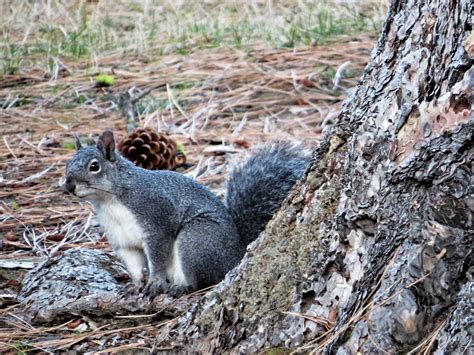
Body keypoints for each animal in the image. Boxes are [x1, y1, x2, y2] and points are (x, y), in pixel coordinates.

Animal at [63, 132, 310, 296]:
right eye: (68, 164)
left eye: (94, 166)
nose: (69, 185)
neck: (110, 201)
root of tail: (238, 254)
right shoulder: (121, 239)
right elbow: (133, 263)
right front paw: (136, 285)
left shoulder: (157, 219)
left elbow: (158, 255)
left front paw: (155, 282)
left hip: (197, 240)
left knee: (203, 280)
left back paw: (182, 288)